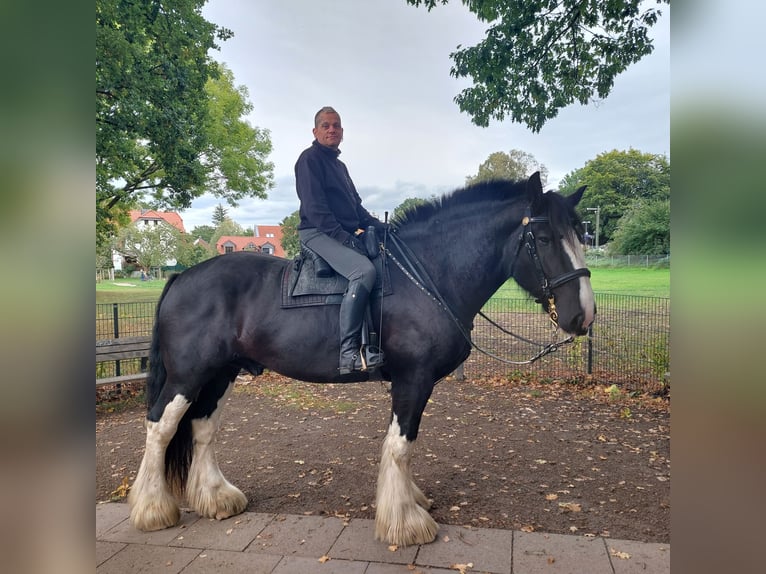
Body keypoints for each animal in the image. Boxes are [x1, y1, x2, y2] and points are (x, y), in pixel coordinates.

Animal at [127, 172, 592, 548]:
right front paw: (405, 522)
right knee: (160, 428)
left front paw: (409, 501)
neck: (427, 275)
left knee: (203, 428)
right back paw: (152, 510)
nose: (583, 315)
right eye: (545, 239)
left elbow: (401, 445)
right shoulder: (413, 379)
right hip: (188, 376)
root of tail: (183, 276)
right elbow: (401, 445)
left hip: (220, 374)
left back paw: (216, 498)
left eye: (581, 235)